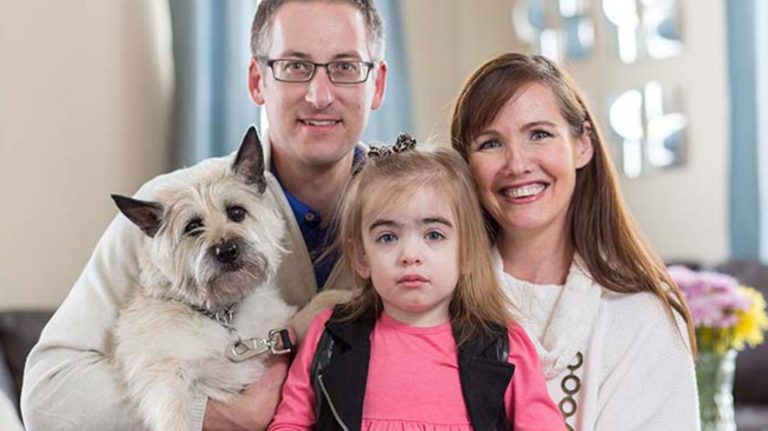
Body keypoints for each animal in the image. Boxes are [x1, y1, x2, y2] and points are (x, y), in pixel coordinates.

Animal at [111, 126, 294, 430]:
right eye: (192, 227)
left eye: (236, 212)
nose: (227, 251)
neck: (223, 315)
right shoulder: (165, 379)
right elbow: (178, 416)